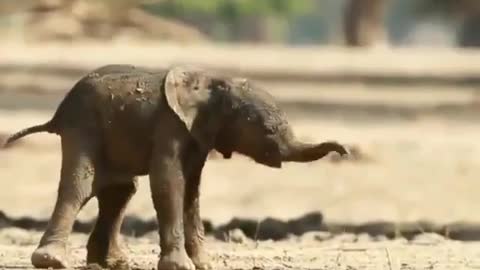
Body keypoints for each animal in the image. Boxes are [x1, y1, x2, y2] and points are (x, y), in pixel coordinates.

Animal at [4, 64, 348, 268]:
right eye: (269, 130)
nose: (343, 151)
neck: (214, 83)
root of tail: (57, 113)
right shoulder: (170, 126)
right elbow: (169, 182)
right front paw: (181, 266)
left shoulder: (197, 135)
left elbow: (191, 191)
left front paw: (204, 265)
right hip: (82, 127)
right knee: (81, 187)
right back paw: (52, 261)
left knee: (120, 192)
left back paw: (113, 263)